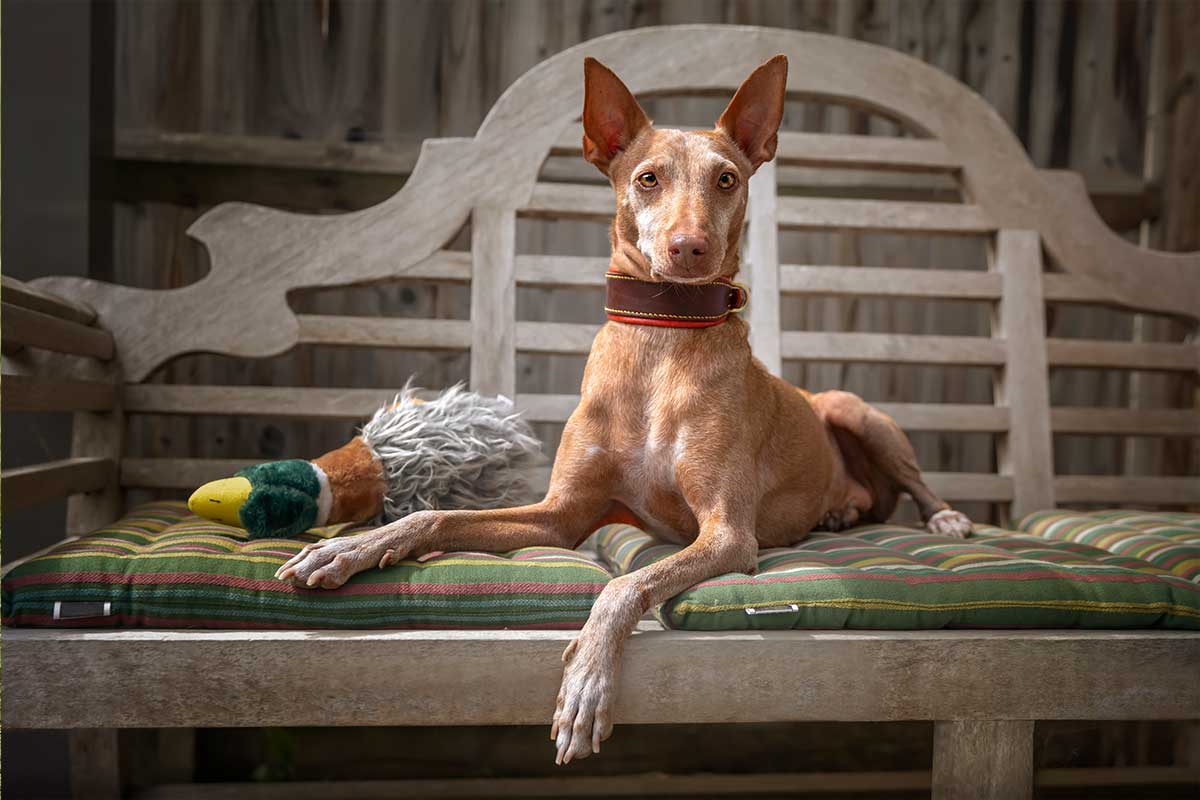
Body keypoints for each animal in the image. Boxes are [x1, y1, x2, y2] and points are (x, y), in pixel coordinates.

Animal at [278, 54, 974, 762]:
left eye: (727, 179)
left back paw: (943, 519)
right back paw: (840, 513)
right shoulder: (560, 517)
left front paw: (588, 681)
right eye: (647, 177)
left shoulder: (729, 535)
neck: (661, 340)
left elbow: (623, 584)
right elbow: (435, 517)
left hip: (858, 412)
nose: (690, 247)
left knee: (916, 482)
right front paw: (350, 548)